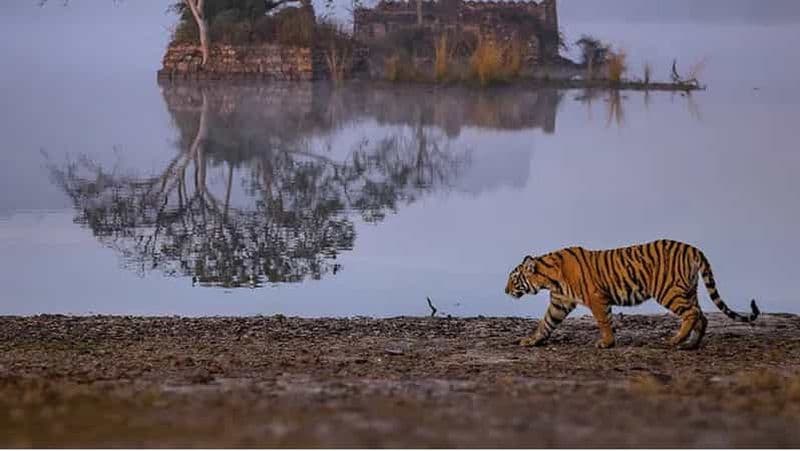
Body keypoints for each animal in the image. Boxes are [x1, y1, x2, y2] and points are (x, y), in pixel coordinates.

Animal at [504, 239, 759, 349]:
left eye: (513, 278)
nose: (505, 290)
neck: (550, 279)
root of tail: (693, 248)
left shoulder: (596, 298)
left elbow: (603, 321)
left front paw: (606, 343)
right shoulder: (560, 303)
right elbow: (545, 323)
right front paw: (531, 340)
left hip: (668, 291)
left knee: (692, 313)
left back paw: (675, 340)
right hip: (688, 289)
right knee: (702, 316)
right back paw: (691, 344)